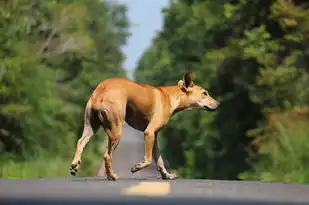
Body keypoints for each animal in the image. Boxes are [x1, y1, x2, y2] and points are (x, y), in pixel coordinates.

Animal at [70, 72, 219, 181]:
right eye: (205, 93)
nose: (218, 104)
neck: (171, 96)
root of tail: (99, 91)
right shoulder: (149, 132)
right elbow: (148, 160)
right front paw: (136, 167)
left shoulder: (155, 136)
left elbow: (159, 160)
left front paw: (166, 175)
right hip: (117, 130)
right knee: (107, 155)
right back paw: (112, 175)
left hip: (91, 127)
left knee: (80, 142)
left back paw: (75, 165)